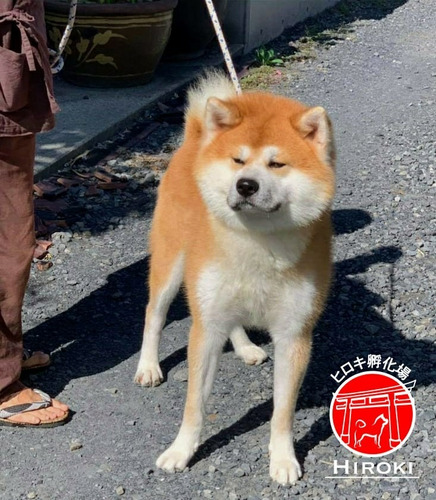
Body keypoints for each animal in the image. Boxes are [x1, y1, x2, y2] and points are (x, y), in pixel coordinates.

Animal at [135, 72, 336, 486]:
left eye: (277, 164)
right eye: (238, 160)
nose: (246, 184)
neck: (257, 244)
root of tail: (195, 137)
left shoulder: (294, 334)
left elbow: (282, 412)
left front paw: (283, 458)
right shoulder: (205, 326)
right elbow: (194, 404)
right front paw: (181, 450)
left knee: (235, 321)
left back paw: (245, 347)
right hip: (172, 265)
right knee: (154, 314)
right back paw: (147, 365)